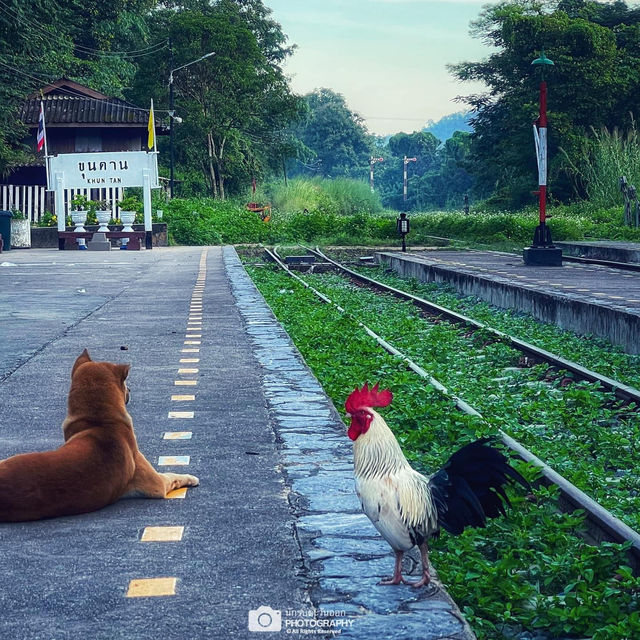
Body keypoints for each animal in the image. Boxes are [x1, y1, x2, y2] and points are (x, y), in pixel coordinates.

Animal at [0, 348, 199, 524]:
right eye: (125, 384)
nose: (131, 390)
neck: (100, 422)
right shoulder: (156, 484)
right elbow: (173, 475)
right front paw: (190, 477)